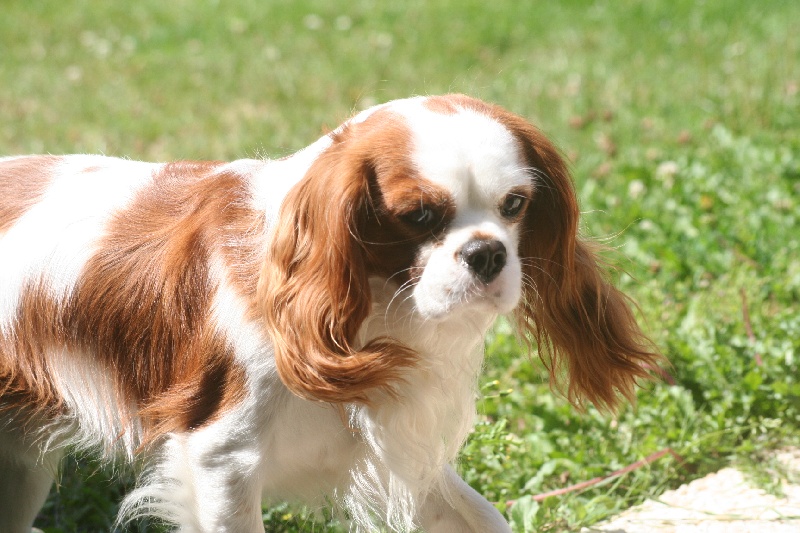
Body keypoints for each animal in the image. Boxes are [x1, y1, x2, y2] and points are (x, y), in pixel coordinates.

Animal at [0, 93, 656, 528]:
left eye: (515, 205)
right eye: (420, 215)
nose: (487, 253)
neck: (372, 309)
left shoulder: (396, 448)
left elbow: (484, 515)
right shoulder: (221, 460)